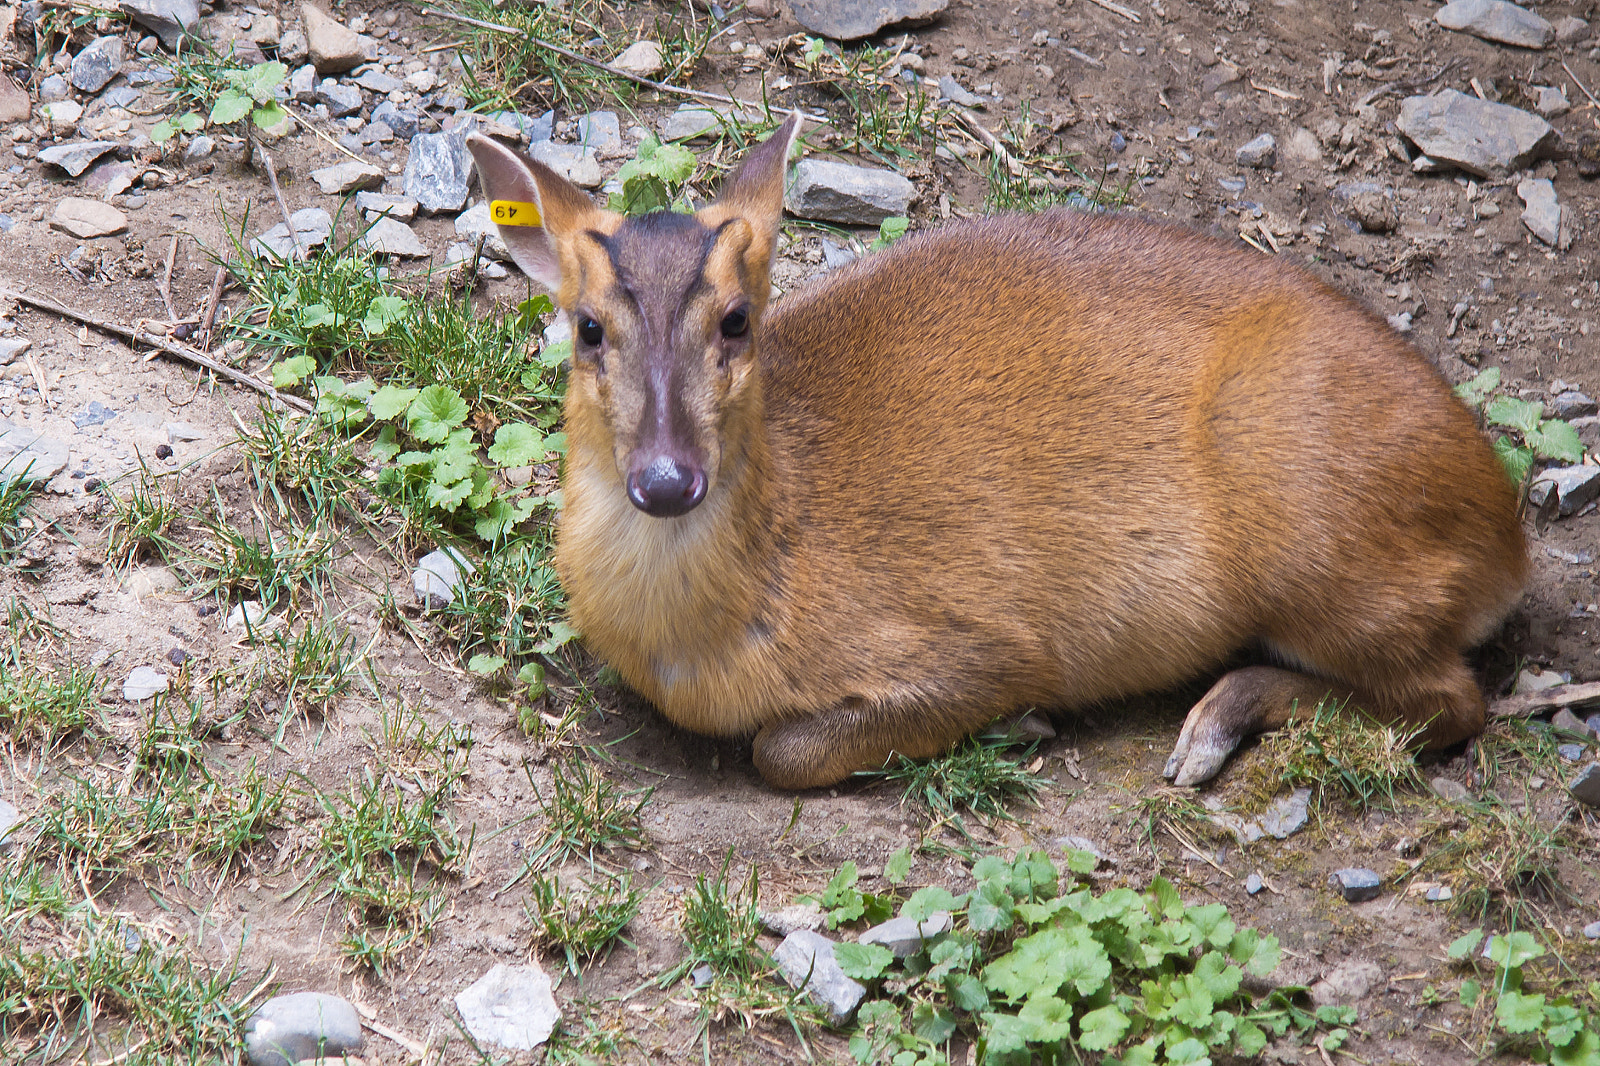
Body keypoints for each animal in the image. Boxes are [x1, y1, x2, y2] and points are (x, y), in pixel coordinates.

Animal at [464, 113, 1528, 791]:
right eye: (587, 328)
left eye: (735, 319)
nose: (665, 479)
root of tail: (1508, 543)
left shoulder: (990, 640)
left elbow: (784, 751)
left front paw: (1023, 724)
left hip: (1318, 537)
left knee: (1453, 702)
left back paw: (1213, 722)